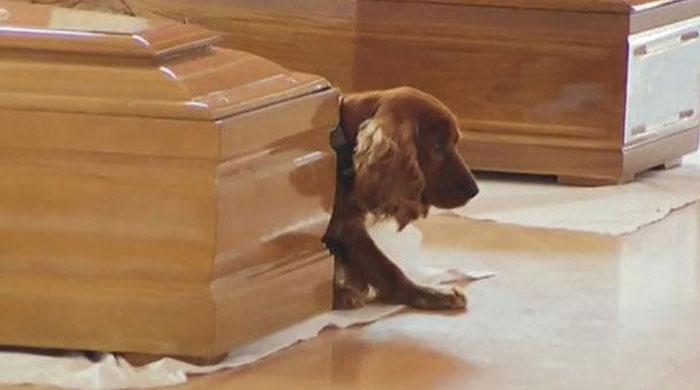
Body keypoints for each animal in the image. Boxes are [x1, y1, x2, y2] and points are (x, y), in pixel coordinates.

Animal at [324, 86, 482, 310]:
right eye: (438, 145)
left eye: (455, 141)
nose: (474, 190)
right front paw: (340, 294)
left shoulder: (349, 226)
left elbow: (386, 269)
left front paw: (429, 293)